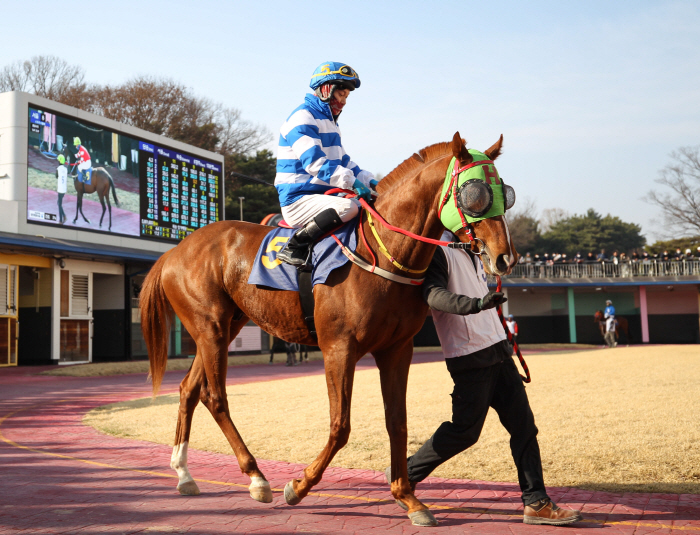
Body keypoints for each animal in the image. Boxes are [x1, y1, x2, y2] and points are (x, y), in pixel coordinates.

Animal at [139, 133, 516, 528]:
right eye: (474, 193)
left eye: (506, 193)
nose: (505, 257)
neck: (380, 253)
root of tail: (175, 251)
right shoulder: (339, 347)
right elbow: (341, 424)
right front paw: (299, 485)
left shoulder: (397, 349)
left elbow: (397, 422)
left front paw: (407, 497)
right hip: (210, 328)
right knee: (214, 397)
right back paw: (256, 477)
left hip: (224, 328)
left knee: (188, 390)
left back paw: (184, 473)